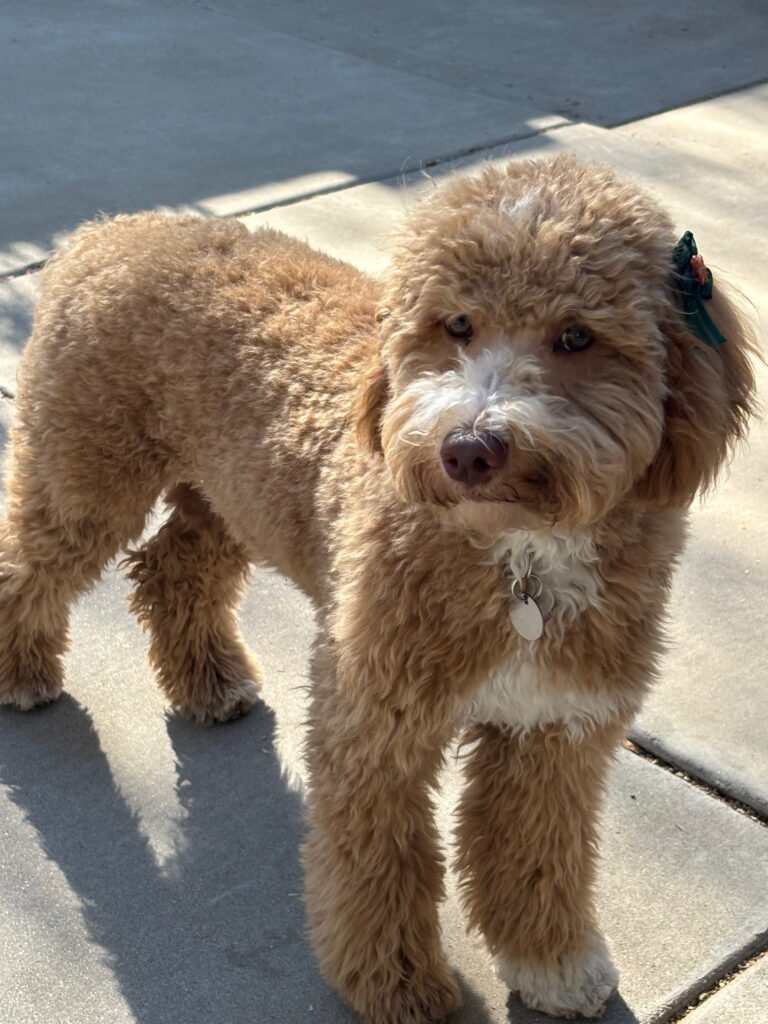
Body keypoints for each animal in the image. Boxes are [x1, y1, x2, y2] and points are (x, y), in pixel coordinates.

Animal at [0, 153, 757, 1024]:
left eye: (577, 336)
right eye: (456, 325)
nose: (468, 448)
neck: (519, 556)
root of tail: (108, 230)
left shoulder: (557, 729)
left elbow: (539, 858)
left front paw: (553, 964)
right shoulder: (375, 721)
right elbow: (381, 865)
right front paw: (397, 985)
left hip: (231, 496)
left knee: (171, 566)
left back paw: (209, 679)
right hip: (86, 474)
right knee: (28, 563)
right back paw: (21, 672)